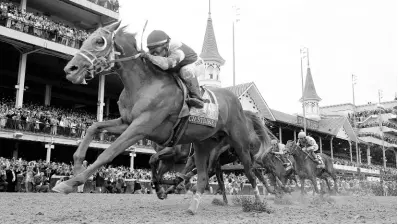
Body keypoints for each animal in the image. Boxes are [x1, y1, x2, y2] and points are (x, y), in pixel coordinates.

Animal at [52, 21, 270, 215]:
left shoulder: (141, 127)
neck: (144, 84)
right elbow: (94, 127)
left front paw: (70, 183)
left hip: (239, 143)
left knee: (251, 173)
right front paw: (77, 166)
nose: (70, 69)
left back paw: (260, 203)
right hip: (203, 144)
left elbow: (109, 152)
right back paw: (192, 207)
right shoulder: (127, 122)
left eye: (99, 41)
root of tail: (238, 104)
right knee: (203, 176)